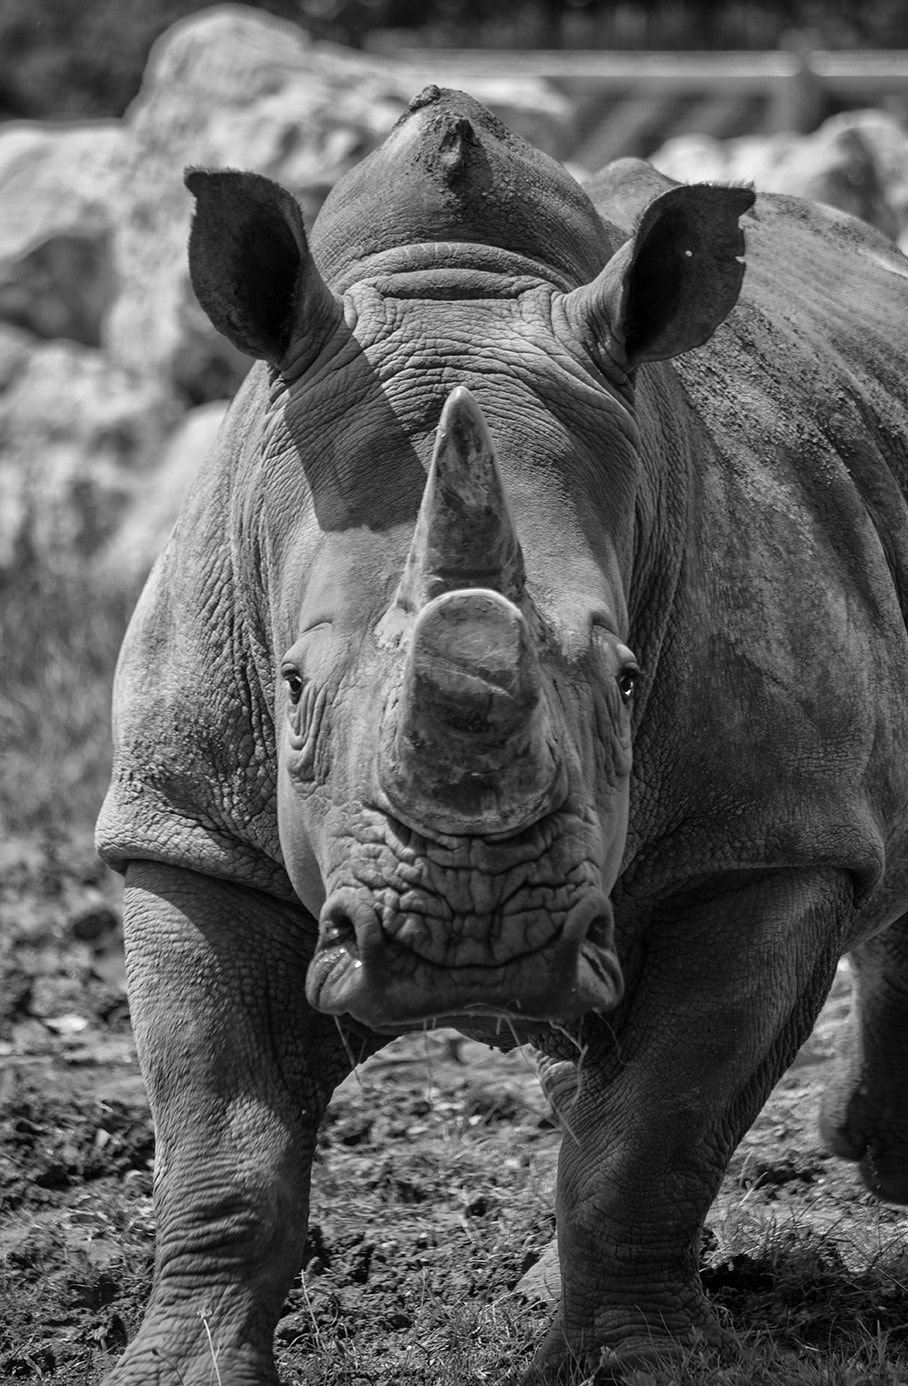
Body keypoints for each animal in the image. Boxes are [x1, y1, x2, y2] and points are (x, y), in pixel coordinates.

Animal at [96, 85, 908, 1383]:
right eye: (289, 691)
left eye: (627, 683)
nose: (474, 948)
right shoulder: (185, 829)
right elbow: (224, 1143)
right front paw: (178, 1372)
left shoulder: (769, 840)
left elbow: (652, 1137)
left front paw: (641, 1366)